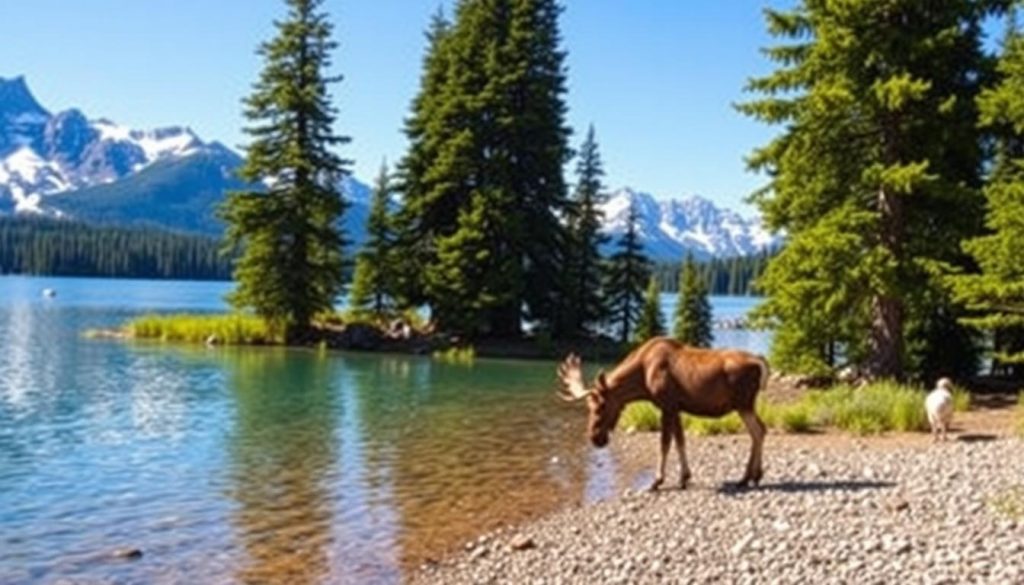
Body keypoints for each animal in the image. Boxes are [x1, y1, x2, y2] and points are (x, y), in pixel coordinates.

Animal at [561, 336, 770, 491]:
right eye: (589, 407)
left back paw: (748, 477)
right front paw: (684, 477)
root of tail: (760, 362)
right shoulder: (676, 407)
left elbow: (664, 443)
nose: (595, 438)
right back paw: (753, 476)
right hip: (745, 405)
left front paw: (657, 481)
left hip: (743, 404)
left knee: (758, 430)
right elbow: (680, 441)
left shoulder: (666, 405)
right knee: (759, 430)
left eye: (601, 406)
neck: (641, 380)